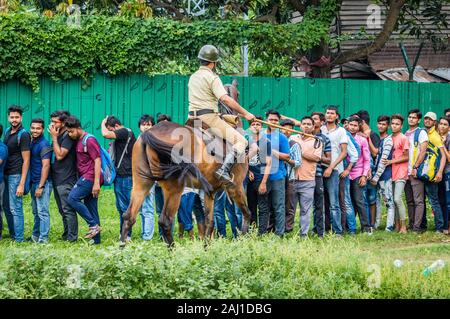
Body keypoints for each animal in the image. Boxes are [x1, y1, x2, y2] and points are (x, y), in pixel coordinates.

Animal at [119, 117, 250, 248]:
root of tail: (148, 133)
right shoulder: (236, 187)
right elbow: (247, 213)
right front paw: (243, 239)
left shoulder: (210, 191)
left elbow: (209, 221)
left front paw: (206, 247)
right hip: (174, 188)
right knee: (165, 221)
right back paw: (173, 249)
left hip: (141, 184)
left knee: (129, 217)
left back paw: (121, 248)